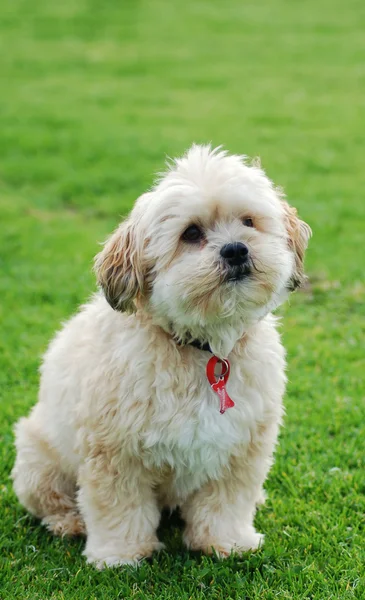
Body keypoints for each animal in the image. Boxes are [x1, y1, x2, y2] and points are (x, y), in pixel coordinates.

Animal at [13, 144, 310, 568]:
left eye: (248, 221)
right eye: (192, 234)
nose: (236, 249)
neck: (204, 347)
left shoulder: (241, 449)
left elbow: (226, 503)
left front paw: (227, 541)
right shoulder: (115, 454)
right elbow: (118, 507)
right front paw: (119, 555)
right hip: (39, 459)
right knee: (51, 500)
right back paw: (69, 522)